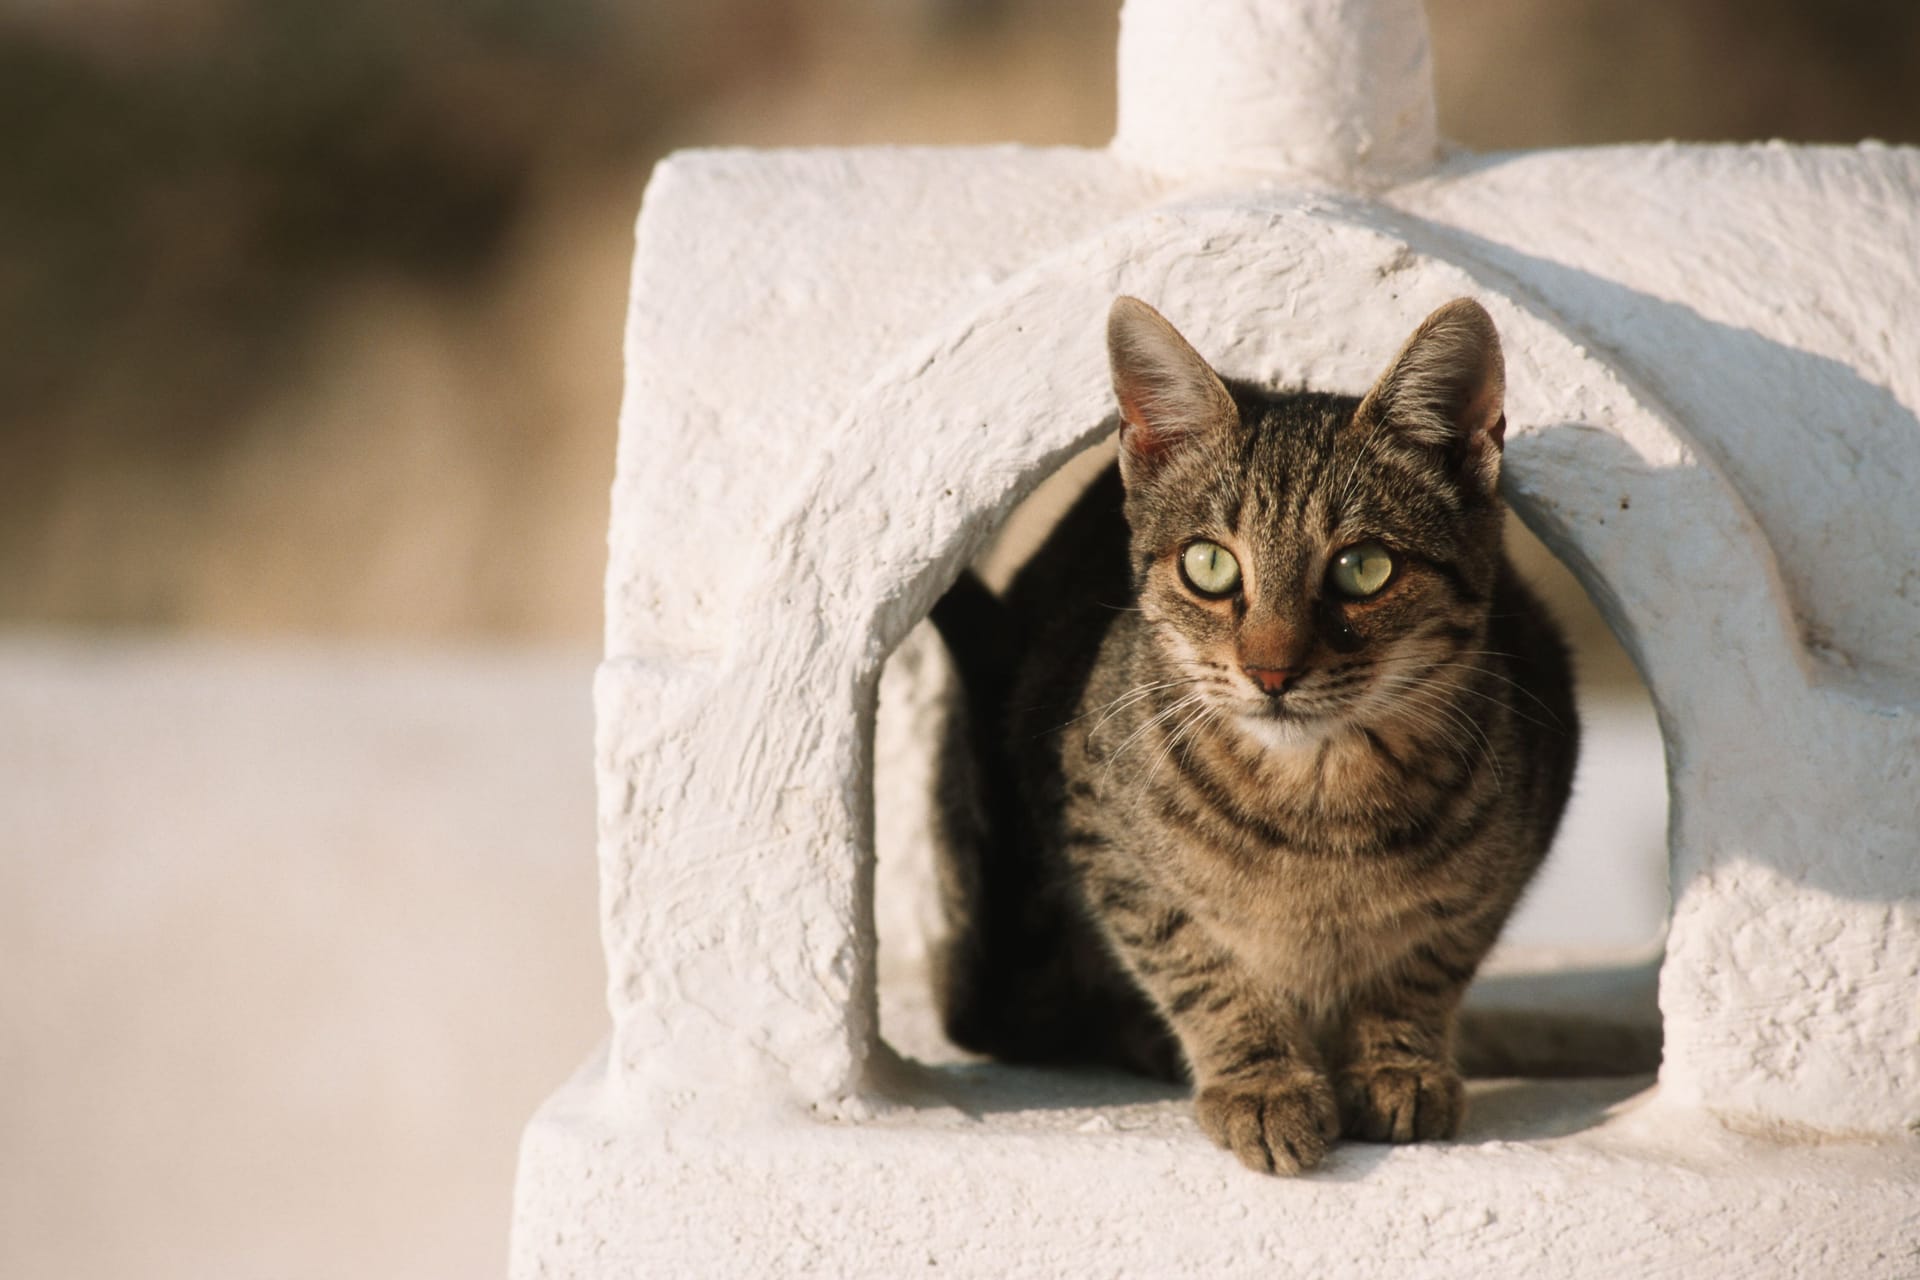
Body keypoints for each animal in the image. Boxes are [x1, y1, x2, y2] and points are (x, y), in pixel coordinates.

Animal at [925, 295, 1574, 1174]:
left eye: (1364, 568)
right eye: (1209, 565)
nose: (1271, 671)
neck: (1318, 802)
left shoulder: (1508, 851)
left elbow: (1427, 961)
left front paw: (1396, 1064)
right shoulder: (1101, 840)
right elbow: (1200, 968)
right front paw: (1262, 1082)